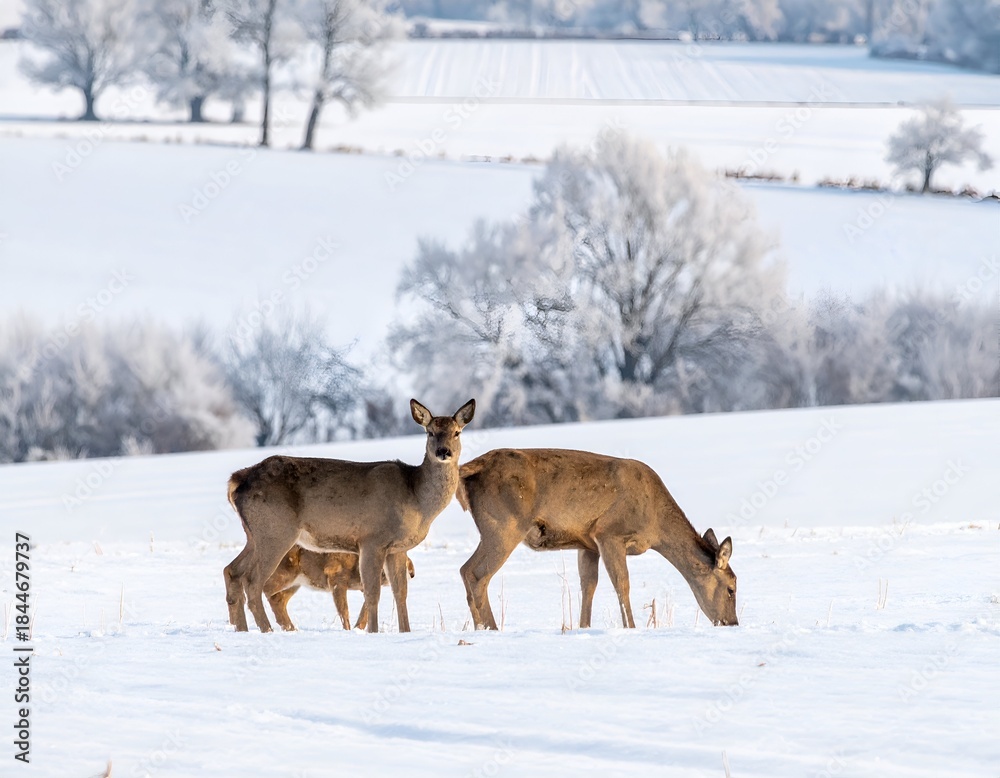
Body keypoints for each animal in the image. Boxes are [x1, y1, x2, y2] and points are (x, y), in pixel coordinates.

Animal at [265, 546, 416, 631]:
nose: (411, 571)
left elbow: (365, 608)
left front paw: (358, 628)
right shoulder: (336, 579)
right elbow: (344, 611)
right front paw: (348, 630)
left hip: (296, 582)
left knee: (278, 599)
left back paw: (291, 628)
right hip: (286, 575)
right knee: (265, 590)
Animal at [457, 448, 738, 630]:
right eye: (731, 588)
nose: (732, 622)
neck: (656, 527)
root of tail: (470, 468)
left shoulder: (587, 543)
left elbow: (588, 585)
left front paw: (584, 627)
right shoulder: (609, 532)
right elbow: (622, 584)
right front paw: (631, 628)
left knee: (466, 571)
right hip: (504, 526)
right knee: (475, 573)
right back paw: (489, 629)